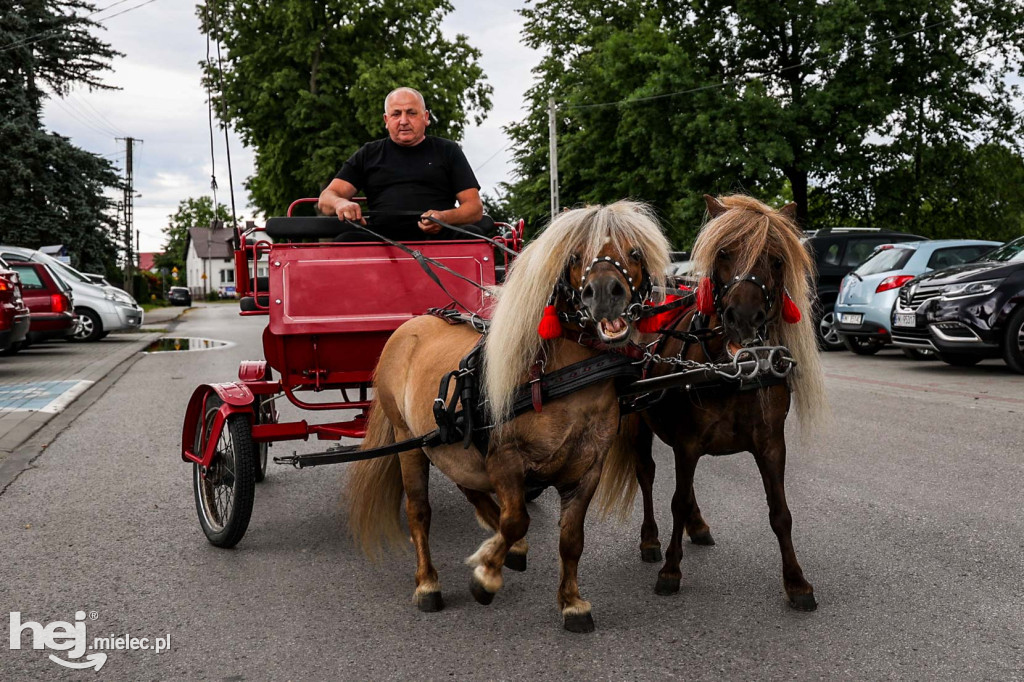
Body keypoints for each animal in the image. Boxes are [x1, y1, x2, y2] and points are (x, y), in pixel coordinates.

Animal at [344, 199, 671, 630]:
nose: (604, 293)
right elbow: (517, 520)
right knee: (419, 512)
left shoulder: (587, 470)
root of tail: (408, 326)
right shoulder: (506, 459)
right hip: (406, 440)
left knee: (466, 482)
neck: (566, 379)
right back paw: (428, 583)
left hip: (447, 441)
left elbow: (571, 539)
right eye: (575, 257)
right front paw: (485, 576)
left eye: (634, 252)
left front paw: (572, 602)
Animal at [598, 193, 827, 606]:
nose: (744, 319)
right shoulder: (687, 443)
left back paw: (698, 525)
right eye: (723, 252)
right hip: (638, 424)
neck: (732, 369)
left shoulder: (771, 444)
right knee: (647, 475)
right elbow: (674, 500)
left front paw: (796, 581)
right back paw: (650, 539)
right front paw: (670, 570)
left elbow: (780, 512)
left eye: (776, 259)